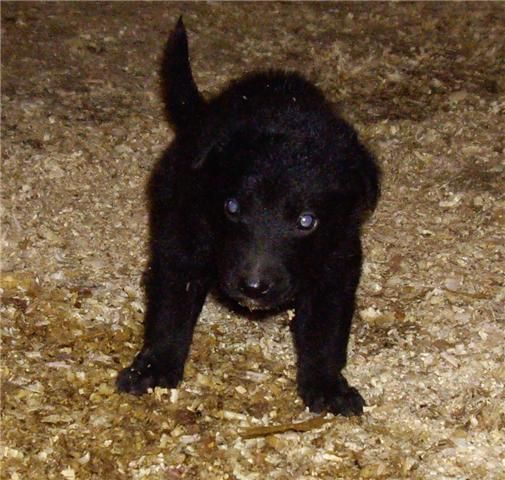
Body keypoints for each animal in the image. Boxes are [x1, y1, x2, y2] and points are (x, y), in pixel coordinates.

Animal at [118, 18, 378, 416]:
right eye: (232, 208)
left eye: (307, 221)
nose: (254, 287)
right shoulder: (182, 244)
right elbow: (170, 312)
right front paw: (153, 367)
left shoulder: (337, 264)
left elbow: (325, 333)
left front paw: (327, 386)